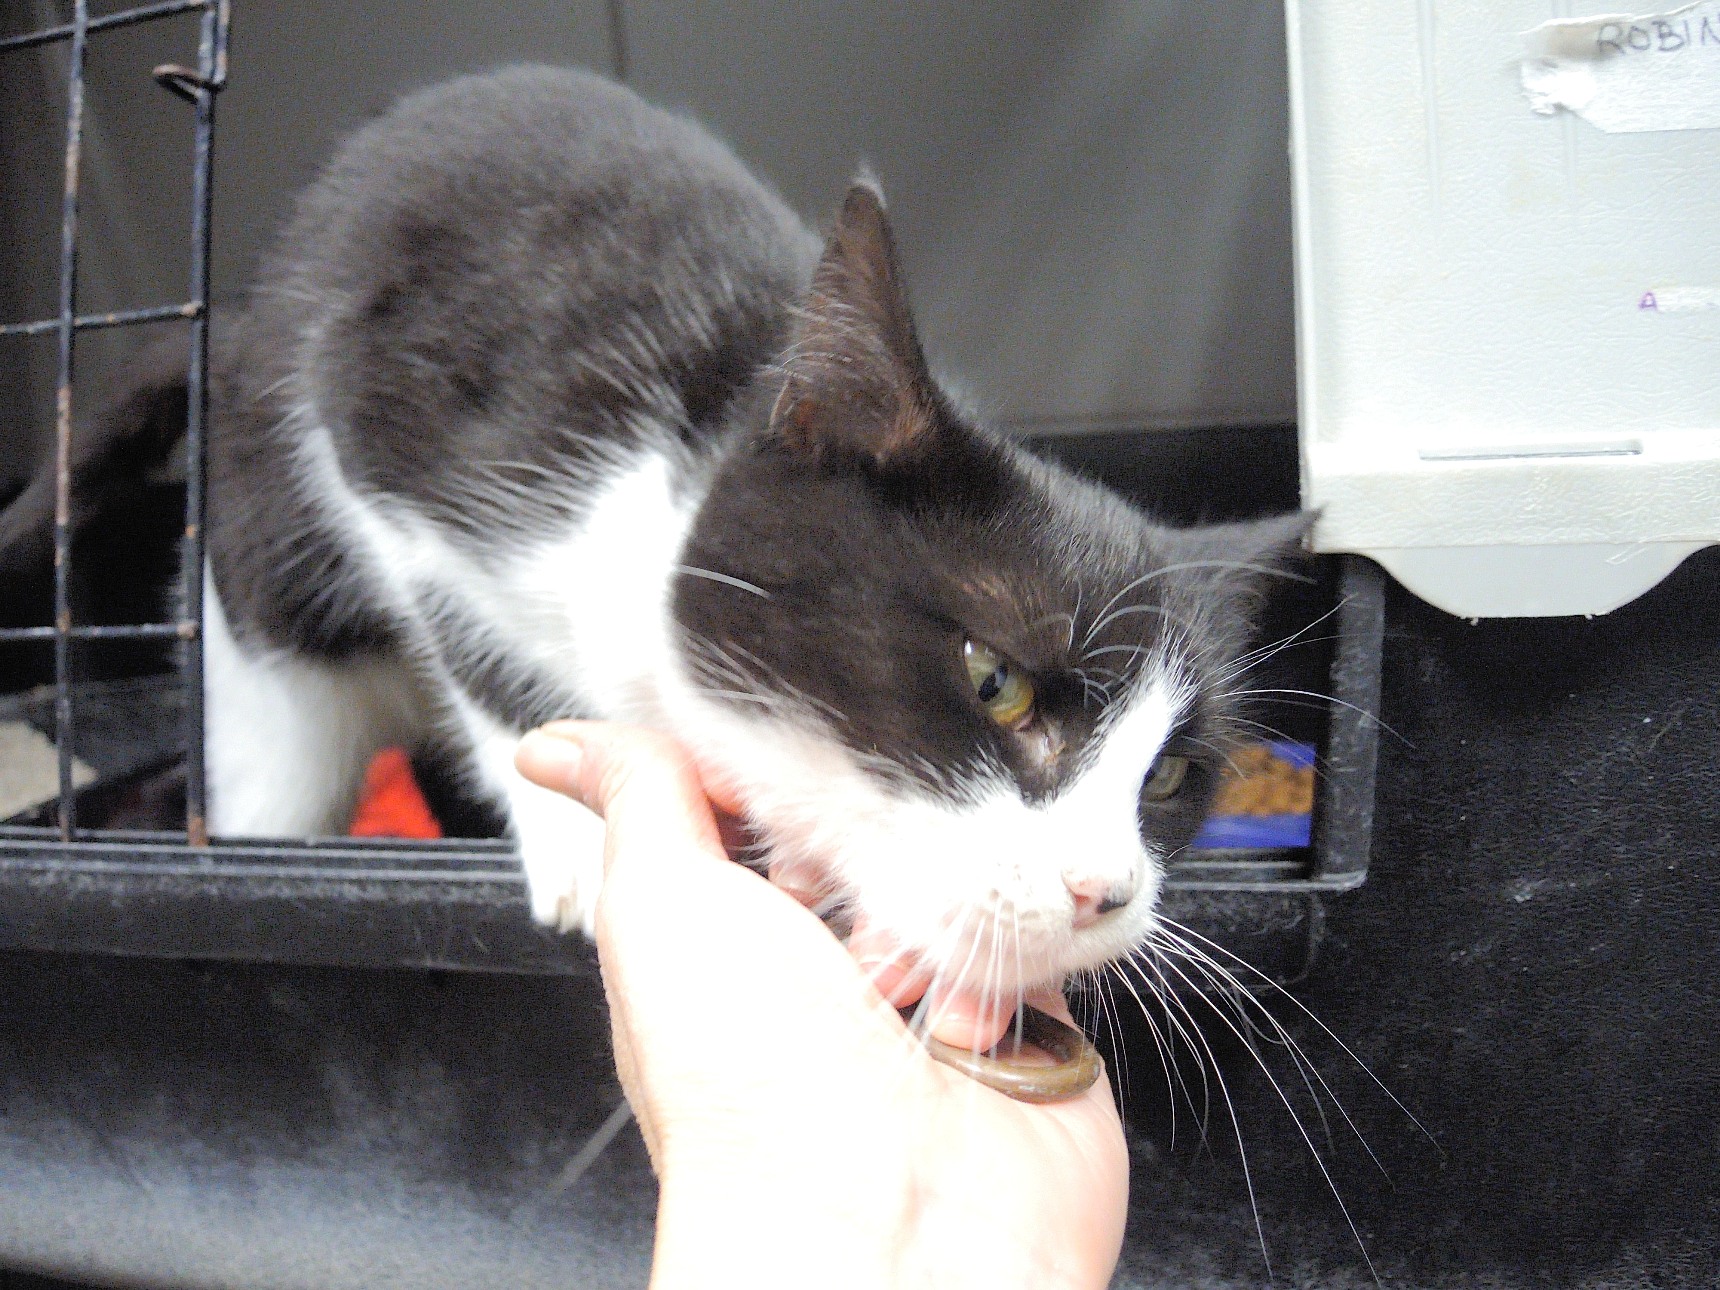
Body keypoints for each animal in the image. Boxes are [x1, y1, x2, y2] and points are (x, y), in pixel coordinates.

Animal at [71, 65, 1313, 1010]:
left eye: (1173, 777)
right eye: (994, 681)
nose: (1107, 892)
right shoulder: (395, 449)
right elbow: (478, 644)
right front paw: (574, 826)